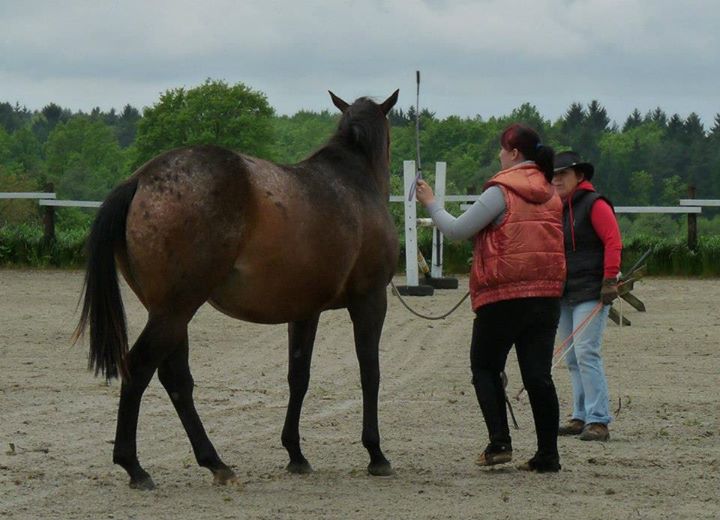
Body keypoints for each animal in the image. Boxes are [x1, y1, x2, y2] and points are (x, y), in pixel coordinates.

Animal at [76, 89, 402, 488]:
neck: (354, 181)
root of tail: (140, 180)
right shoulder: (371, 300)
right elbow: (370, 372)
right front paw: (376, 453)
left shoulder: (304, 312)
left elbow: (299, 376)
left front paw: (295, 453)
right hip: (175, 310)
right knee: (139, 368)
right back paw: (134, 466)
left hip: (170, 313)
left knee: (175, 379)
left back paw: (214, 462)